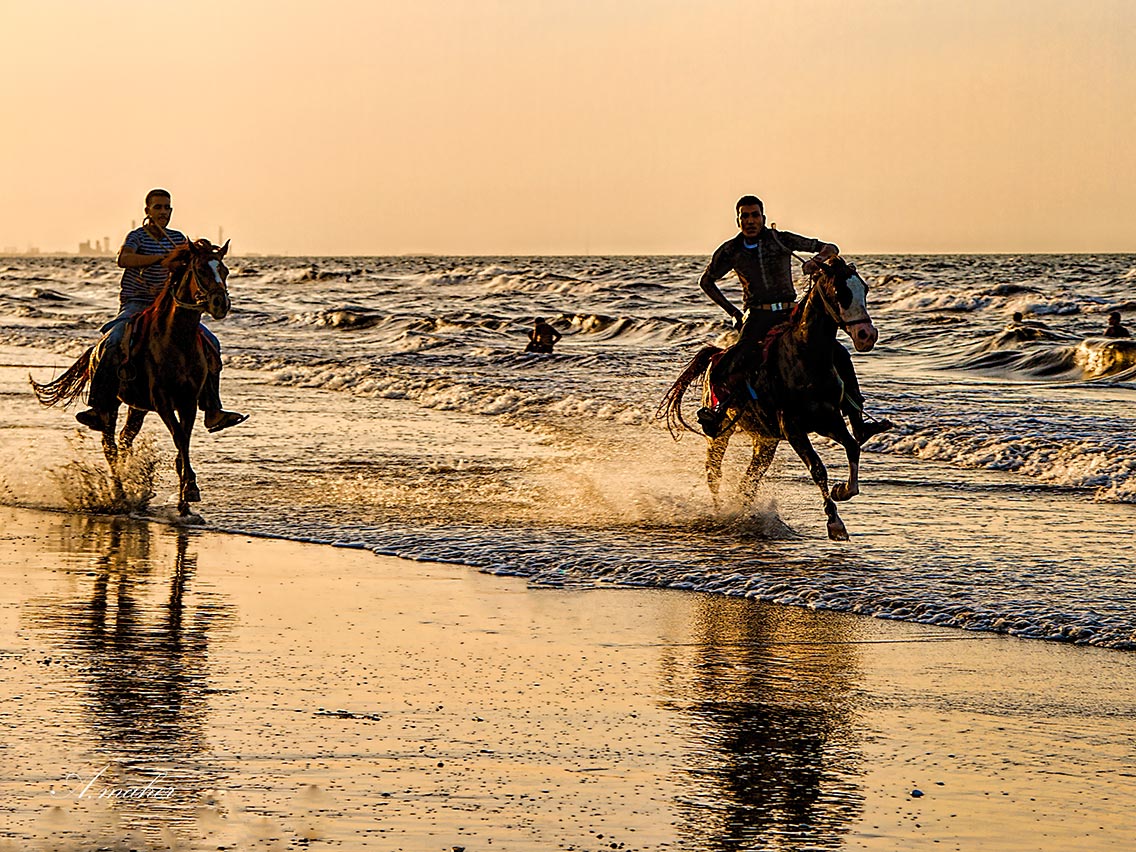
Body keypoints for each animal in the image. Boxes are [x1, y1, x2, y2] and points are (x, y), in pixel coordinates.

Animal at [31, 240, 231, 520]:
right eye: (201, 269)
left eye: (224, 270)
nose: (220, 303)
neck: (176, 341)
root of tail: (94, 349)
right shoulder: (163, 402)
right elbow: (180, 439)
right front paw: (190, 489)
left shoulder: (188, 402)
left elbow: (184, 441)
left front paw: (185, 502)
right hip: (109, 405)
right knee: (110, 446)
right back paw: (119, 495)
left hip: (137, 407)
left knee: (125, 440)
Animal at [658, 256, 876, 543]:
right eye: (841, 292)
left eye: (865, 289)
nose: (867, 335)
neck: (804, 358)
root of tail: (715, 355)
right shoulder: (793, 428)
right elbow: (818, 468)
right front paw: (835, 522)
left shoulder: (829, 420)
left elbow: (852, 446)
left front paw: (842, 490)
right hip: (719, 433)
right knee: (714, 472)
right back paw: (720, 512)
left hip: (765, 440)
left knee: (749, 480)